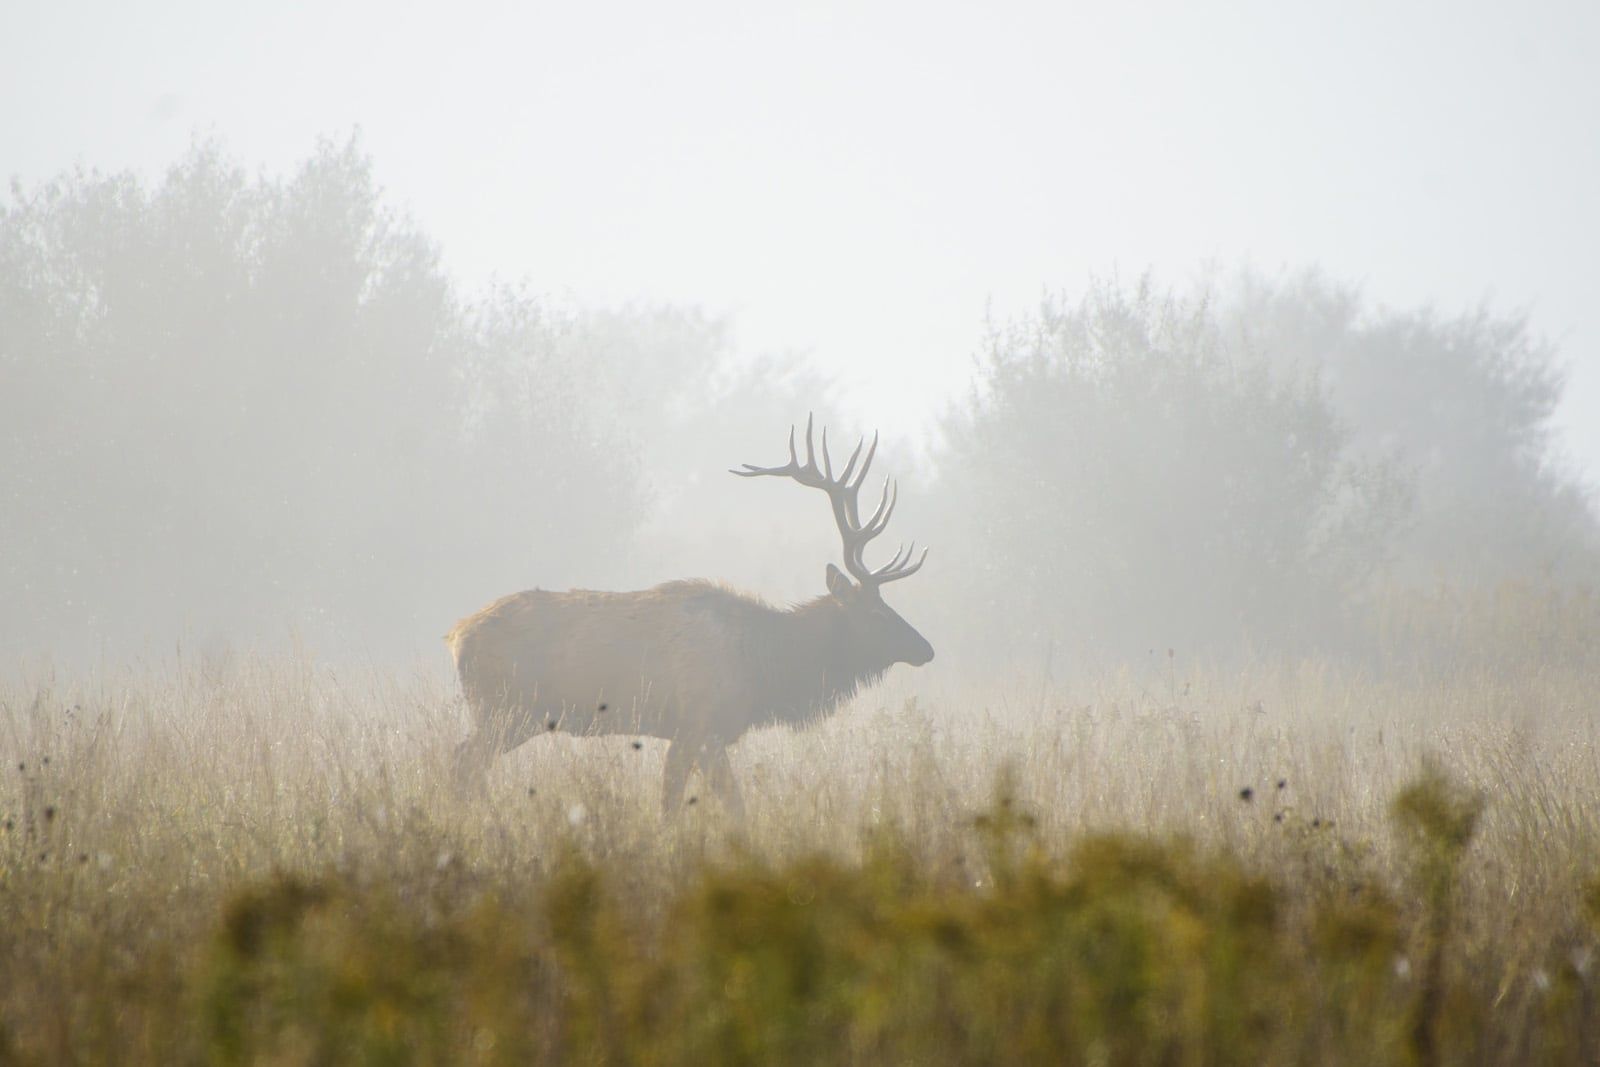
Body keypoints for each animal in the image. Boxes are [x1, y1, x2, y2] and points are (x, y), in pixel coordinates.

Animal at [446, 416, 933, 815]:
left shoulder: (695, 735)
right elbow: (710, 808)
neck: (763, 669)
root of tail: (456, 636)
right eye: (876, 612)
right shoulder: (699, 727)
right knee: (465, 762)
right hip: (506, 709)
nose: (926, 648)